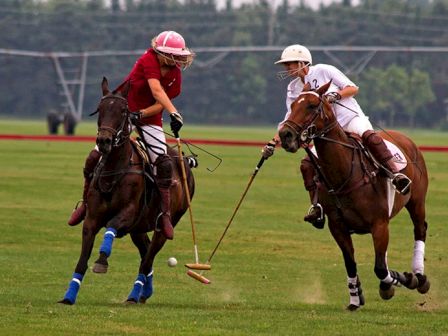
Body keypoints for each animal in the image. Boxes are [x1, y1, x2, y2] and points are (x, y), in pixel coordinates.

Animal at [58, 78, 193, 304]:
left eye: (123, 111)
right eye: (100, 109)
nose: (104, 141)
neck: (113, 170)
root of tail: (185, 162)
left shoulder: (128, 214)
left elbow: (112, 226)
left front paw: (102, 260)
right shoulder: (91, 218)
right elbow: (82, 260)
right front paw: (69, 296)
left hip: (164, 225)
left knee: (147, 259)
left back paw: (134, 295)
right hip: (138, 228)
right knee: (145, 253)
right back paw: (144, 293)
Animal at [278, 80, 428, 310]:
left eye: (312, 105)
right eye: (293, 105)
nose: (285, 135)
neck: (345, 173)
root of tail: (405, 137)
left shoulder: (379, 223)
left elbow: (380, 269)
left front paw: (403, 279)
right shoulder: (338, 226)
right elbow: (351, 263)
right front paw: (356, 298)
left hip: (417, 202)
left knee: (420, 230)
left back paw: (419, 277)